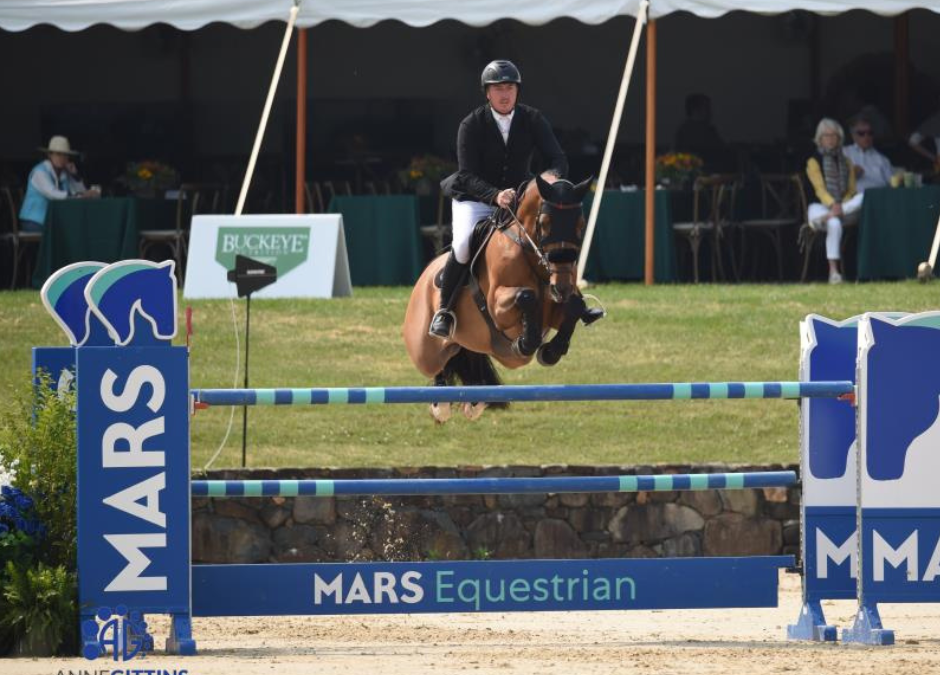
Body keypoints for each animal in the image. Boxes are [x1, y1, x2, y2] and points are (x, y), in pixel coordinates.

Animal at [400, 172, 592, 420]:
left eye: (581, 224)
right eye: (544, 223)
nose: (561, 287)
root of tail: (423, 278)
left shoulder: (555, 310)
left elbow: (574, 307)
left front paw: (551, 351)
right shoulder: (498, 309)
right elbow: (526, 295)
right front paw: (525, 343)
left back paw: (475, 400)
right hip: (424, 350)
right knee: (436, 365)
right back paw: (440, 402)